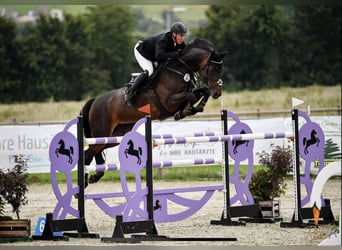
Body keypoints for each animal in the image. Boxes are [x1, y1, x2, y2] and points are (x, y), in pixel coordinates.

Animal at [81, 37, 227, 187]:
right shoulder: (168, 102)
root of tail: (95, 100)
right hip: (102, 132)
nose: (218, 93)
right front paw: (185, 111)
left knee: (95, 151)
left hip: (114, 136)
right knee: (88, 153)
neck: (179, 71)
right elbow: (191, 96)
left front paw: (195, 108)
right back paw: (84, 183)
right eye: (214, 68)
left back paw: (93, 177)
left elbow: (203, 91)